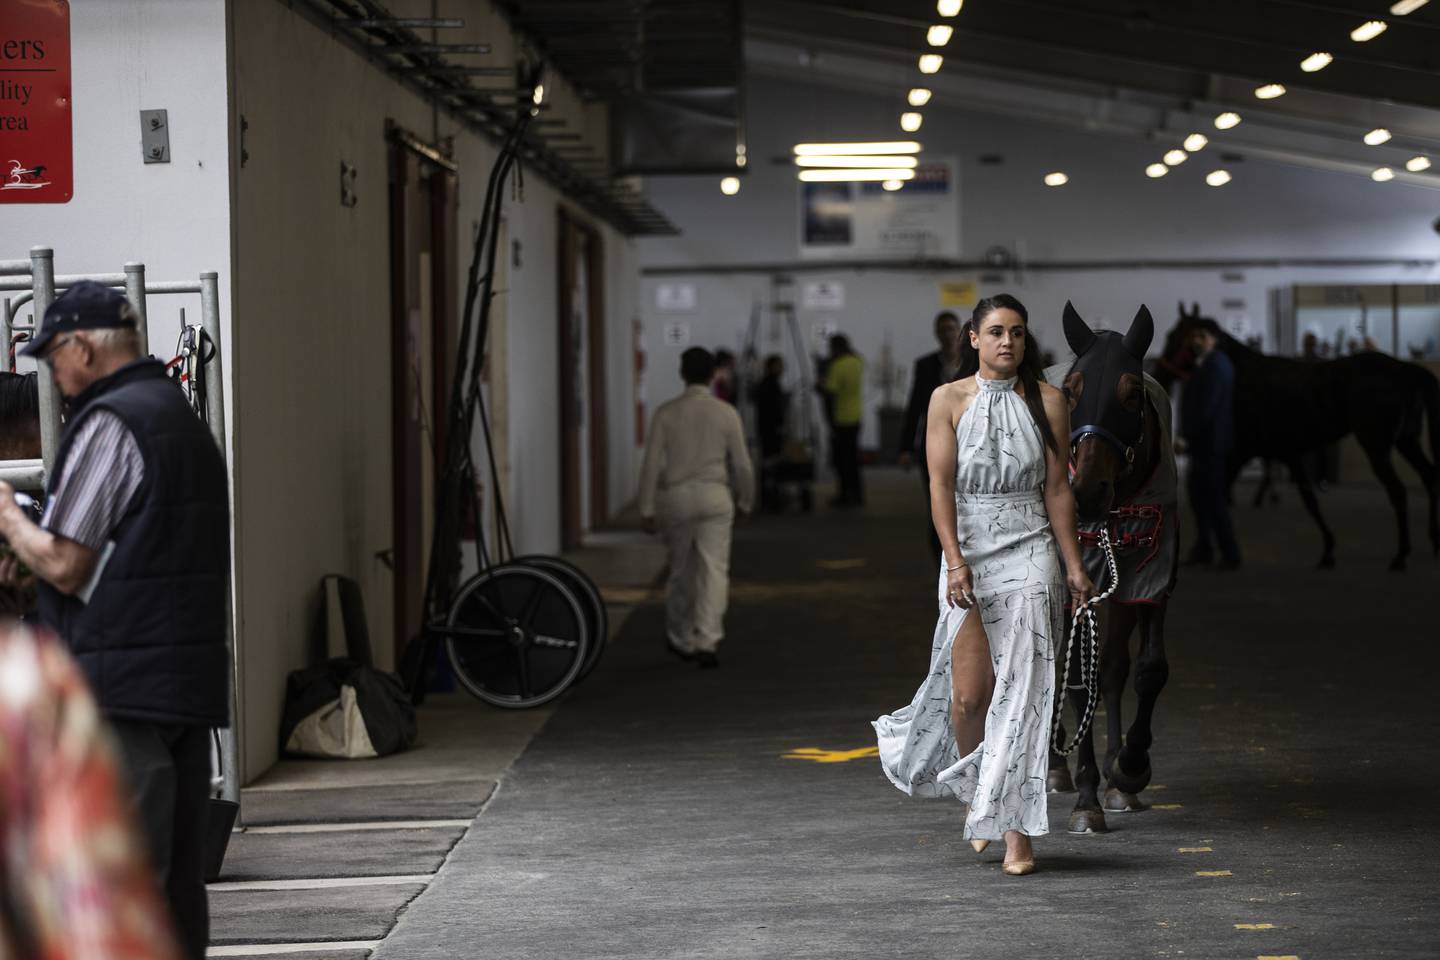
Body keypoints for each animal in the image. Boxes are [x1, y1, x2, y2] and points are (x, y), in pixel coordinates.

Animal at [1157, 303, 1440, 567]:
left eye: (1172, 336)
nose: (1160, 375)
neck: (1242, 376)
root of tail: (1404, 369)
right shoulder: (1287, 454)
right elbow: (1309, 500)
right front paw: (1327, 550)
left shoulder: (1243, 453)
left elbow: (1217, 497)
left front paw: (1204, 550)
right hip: (1406, 441)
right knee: (1429, 477)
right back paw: (1432, 541)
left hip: (1377, 447)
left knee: (1398, 491)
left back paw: (1401, 556)